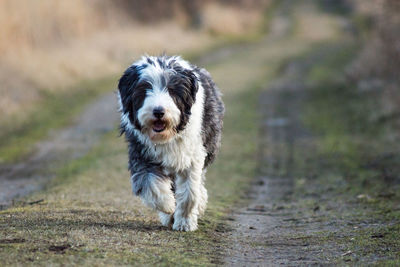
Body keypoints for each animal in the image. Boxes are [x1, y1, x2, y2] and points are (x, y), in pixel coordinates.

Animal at [117, 55, 227, 231]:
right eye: (144, 89)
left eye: (172, 90)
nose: (158, 111)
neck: (166, 136)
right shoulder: (142, 153)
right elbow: (150, 182)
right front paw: (168, 205)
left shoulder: (192, 157)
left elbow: (190, 192)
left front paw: (185, 223)